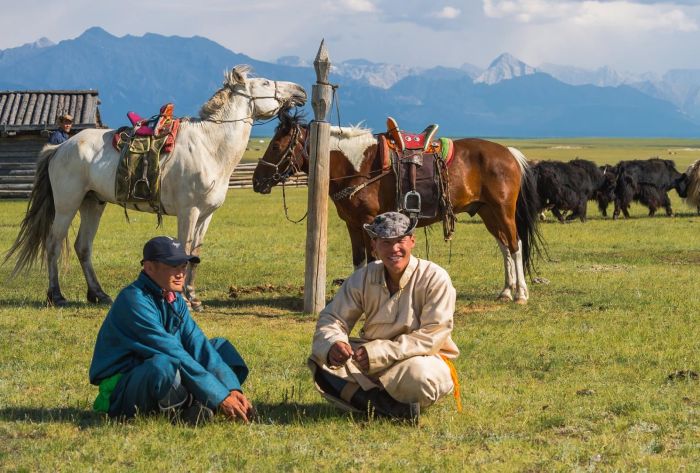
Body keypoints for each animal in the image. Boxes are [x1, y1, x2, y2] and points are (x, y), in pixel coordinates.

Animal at [5, 64, 306, 308]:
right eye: (265, 83)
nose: (300, 90)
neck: (210, 145)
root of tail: (60, 147)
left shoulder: (206, 215)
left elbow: (196, 252)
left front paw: (193, 297)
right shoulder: (189, 212)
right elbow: (185, 250)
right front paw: (184, 297)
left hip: (93, 203)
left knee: (83, 246)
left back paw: (98, 294)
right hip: (67, 205)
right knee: (54, 243)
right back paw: (56, 295)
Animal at [254, 110, 544, 302]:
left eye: (277, 145)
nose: (257, 181)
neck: (359, 165)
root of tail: (508, 153)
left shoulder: (369, 220)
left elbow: (372, 259)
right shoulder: (352, 224)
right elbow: (359, 260)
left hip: (502, 210)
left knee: (515, 245)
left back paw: (521, 293)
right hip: (486, 212)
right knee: (504, 247)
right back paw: (506, 291)